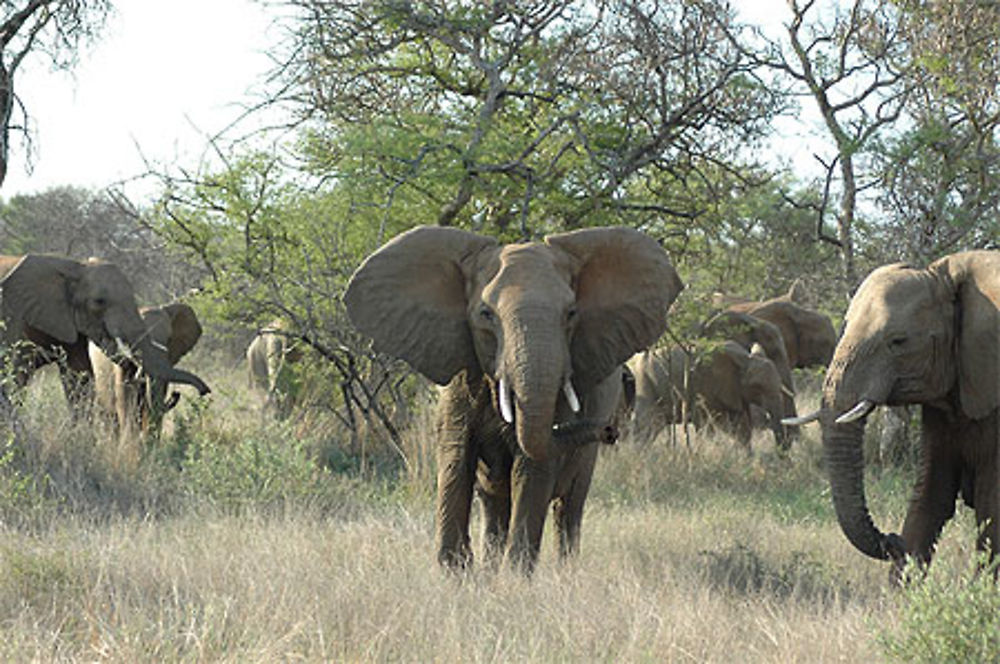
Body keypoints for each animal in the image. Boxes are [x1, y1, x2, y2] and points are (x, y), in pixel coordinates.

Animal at [0, 255, 211, 420]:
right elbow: (14, 374)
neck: (76, 266)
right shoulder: (13, 314)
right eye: (99, 302)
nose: (205, 391)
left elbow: (79, 379)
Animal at [90, 304, 205, 444]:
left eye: (169, 339)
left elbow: (156, 399)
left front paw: (150, 445)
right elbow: (126, 401)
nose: (176, 394)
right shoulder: (120, 362)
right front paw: (130, 446)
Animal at [344, 224, 680, 572]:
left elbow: (533, 466)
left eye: (571, 313)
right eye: (485, 314)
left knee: (569, 505)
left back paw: (564, 571)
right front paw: (457, 572)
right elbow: (456, 458)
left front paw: (514, 577)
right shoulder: (460, 378)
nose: (610, 431)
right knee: (496, 504)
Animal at [632, 342, 788, 452]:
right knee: (649, 424)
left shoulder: (736, 392)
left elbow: (742, 426)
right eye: (757, 387)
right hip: (645, 382)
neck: (745, 358)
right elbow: (705, 423)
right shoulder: (702, 383)